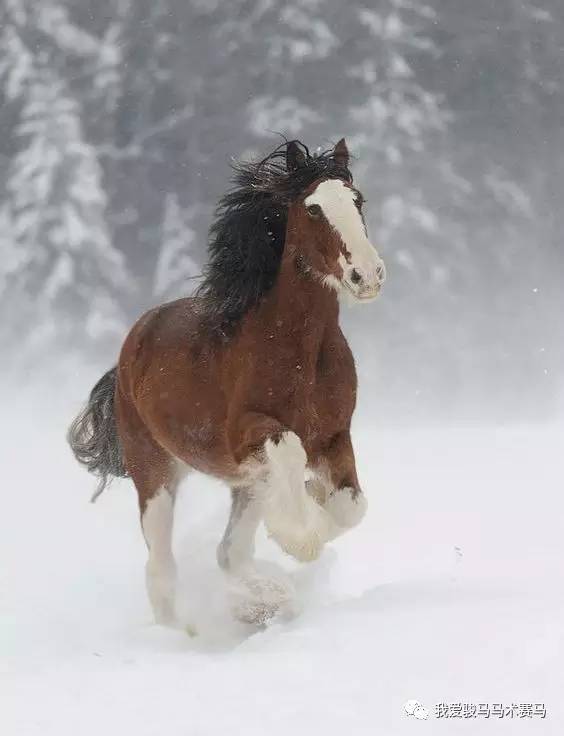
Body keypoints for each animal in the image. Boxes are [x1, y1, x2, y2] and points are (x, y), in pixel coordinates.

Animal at [65, 139, 384, 628]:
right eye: (313, 208)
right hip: (154, 471)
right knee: (162, 570)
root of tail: (133, 345)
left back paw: (261, 603)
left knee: (228, 554)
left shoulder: (333, 436)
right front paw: (298, 536)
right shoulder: (247, 435)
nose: (366, 275)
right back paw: (193, 627)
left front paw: (311, 503)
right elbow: (290, 452)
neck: (300, 349)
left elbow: (350, 508)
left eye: (357, 200)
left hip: (242, 483)